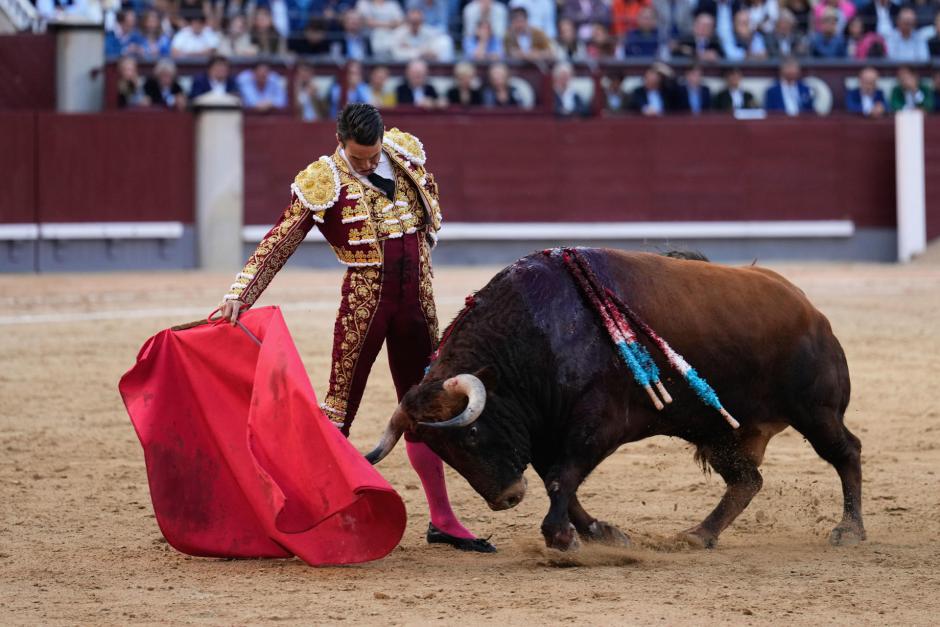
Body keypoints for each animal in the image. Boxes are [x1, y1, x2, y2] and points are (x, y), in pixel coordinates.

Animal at [364, 248, 864, 552]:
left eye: (470, 435)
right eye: (442, 452)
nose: (507, 498)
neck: (536, 335)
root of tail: (809, 309)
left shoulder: (597, 424)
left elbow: (562, 478)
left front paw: (562, 538)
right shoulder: (546, 431)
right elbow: (558, 481)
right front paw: (600, 532)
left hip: (816, 412)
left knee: (846, 452)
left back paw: (849, 530)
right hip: (722, 430)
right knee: (747, 481)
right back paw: (698, 535)